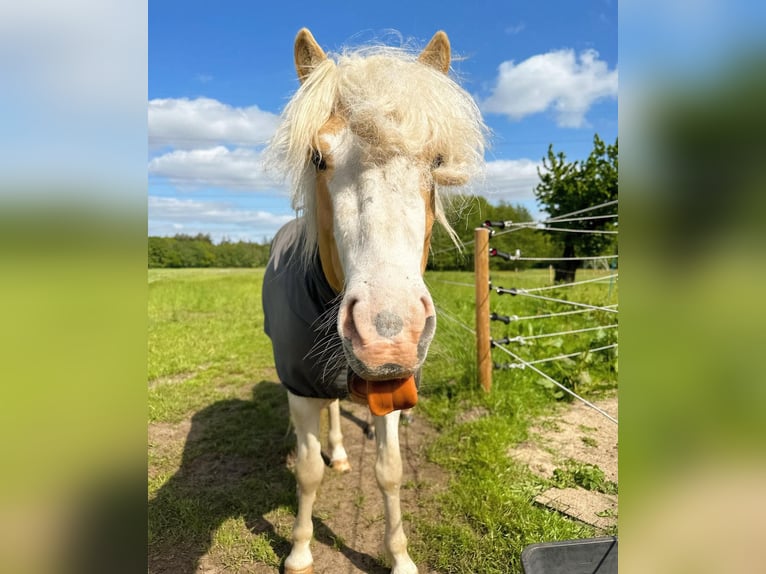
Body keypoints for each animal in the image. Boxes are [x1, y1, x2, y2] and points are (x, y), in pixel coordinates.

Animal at [262, 28, 486, 574]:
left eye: (437, 162)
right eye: (318, 158)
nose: (389, 333)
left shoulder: (390, 391)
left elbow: (389, 470)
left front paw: (399, 556)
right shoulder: (299, 389)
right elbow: (307, 473)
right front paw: (299, 551)